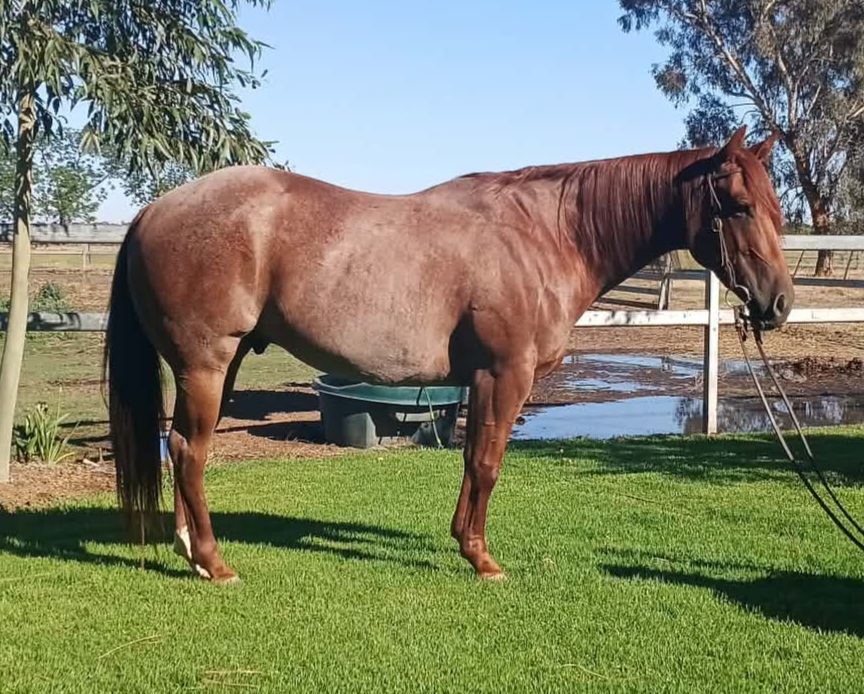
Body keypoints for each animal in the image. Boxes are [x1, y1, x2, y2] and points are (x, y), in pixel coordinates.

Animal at [104, 125, 793, 582]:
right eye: (739, 205)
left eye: (776, 208)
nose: (779, 303)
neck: (546, 235)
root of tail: (152, 210)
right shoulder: (504, 374)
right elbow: (487, 463)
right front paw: (482, 558)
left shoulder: (479, 382)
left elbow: (469, 459)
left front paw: (465, 541)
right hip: (205, 364)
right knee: (189, 450)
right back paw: (214, 564)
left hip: (220, 364)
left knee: (183, 450)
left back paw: (190, 549)